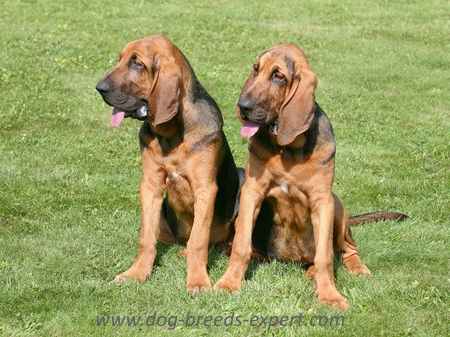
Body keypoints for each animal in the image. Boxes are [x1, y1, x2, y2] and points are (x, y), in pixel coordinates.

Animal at [96, 34, 243, 292]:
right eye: (120, 59)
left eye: (137, 63)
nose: (99, 88)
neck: (172, 135)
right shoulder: (150, 184)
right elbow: (146, 238)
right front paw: (136, 273)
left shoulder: (205, 189)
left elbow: (198, 240)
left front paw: (198, 281)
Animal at [214, 43, 408, 308]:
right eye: (255, 69)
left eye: (278, 76)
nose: (243, 107)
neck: (289, 150)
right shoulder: (251, 192)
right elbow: (241, 246)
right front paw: (229, 283)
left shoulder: (322, 201)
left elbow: (325, 257)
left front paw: (330, 295)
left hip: (337, 206)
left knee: (346, 249)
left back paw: (354, 269)